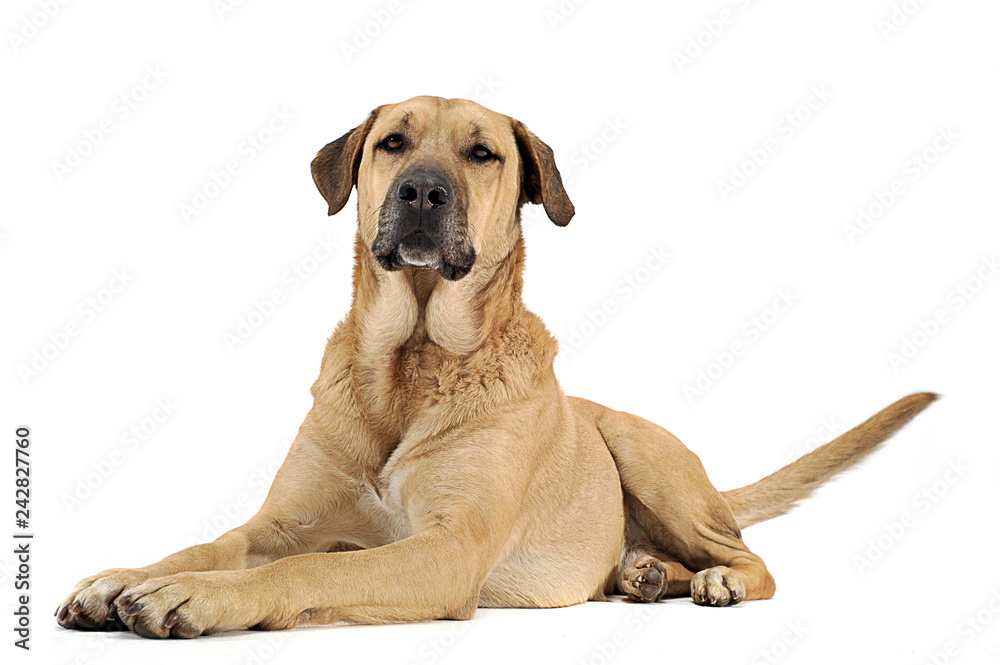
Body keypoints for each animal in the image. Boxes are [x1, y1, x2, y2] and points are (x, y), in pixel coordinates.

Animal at [56, 94, 936, 640]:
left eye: (482, 154)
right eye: (393, 142)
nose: (421, 191)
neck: (411, 364)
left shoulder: (445, 550)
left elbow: (308, 571)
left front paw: (199, 598)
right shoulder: (279, 523)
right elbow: (207, 543)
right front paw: (126, 575)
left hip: (643, 452)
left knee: (749, 556)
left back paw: (710, 579)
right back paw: (645, 572)